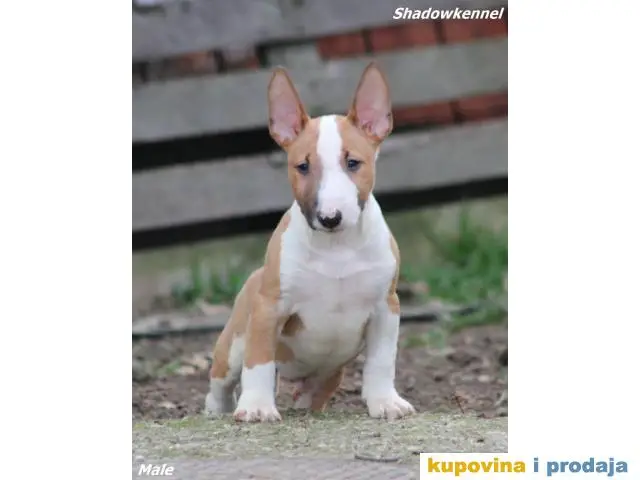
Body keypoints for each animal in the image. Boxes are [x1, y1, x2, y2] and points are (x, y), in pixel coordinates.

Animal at [204, 62, 416, 422]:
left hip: (330, 375)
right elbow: (259, 362)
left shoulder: (386, 307)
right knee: (222, 380)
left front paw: (386, 402)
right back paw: (218, 409)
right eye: (302, 166)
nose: (330, 218)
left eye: (353, 163)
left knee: (313, 394)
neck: (337, 248)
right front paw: (257, 406)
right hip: (233, 342)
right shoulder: (269, 308)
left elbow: (381, 361)